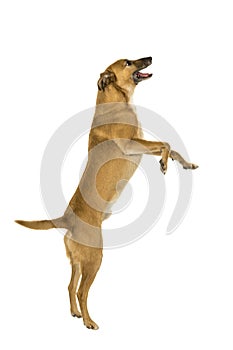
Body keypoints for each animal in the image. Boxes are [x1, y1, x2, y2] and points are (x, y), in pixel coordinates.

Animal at [15, 56, 198, 330]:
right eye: (128, 62)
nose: (149, 57)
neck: (116, 99)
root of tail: (66, 219)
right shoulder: (132, 145)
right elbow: (166, 143)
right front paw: (164, 164)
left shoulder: (141, 146)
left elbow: (171, 147)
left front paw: (186, 164)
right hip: (95, 259)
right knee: (82, 291)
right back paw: (89, 322)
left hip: (78, 261)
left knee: (70, 286)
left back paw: (75, 313)